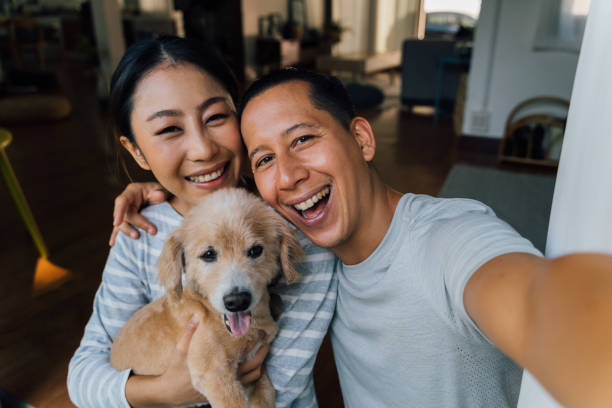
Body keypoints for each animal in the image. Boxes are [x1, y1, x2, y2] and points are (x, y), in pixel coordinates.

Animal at [111, 186, 302, 406]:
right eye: (208, 255)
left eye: (256, 250)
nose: (237, 301)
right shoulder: (212, 372)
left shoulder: (256, 371)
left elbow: (266, 395)